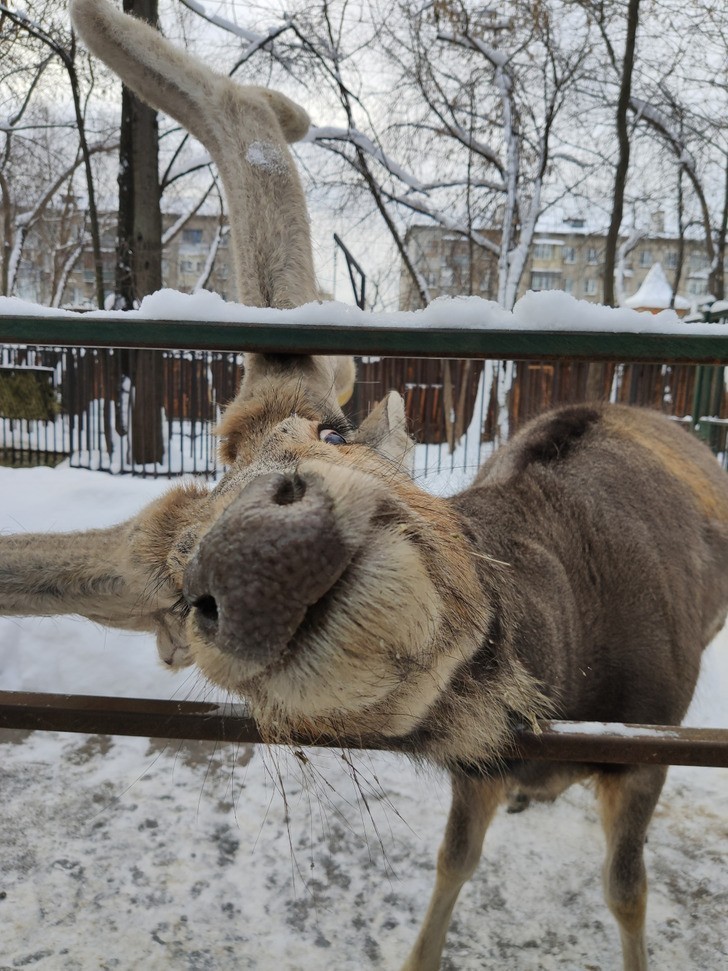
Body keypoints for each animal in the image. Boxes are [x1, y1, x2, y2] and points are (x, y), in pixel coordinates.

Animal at [0, 1, 724, 971]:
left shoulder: (654, 744)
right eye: (177, 597)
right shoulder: (478, 767)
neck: (570, 682)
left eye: (334, 431)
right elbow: (453, 863)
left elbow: (627, 891)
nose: (258, 561)